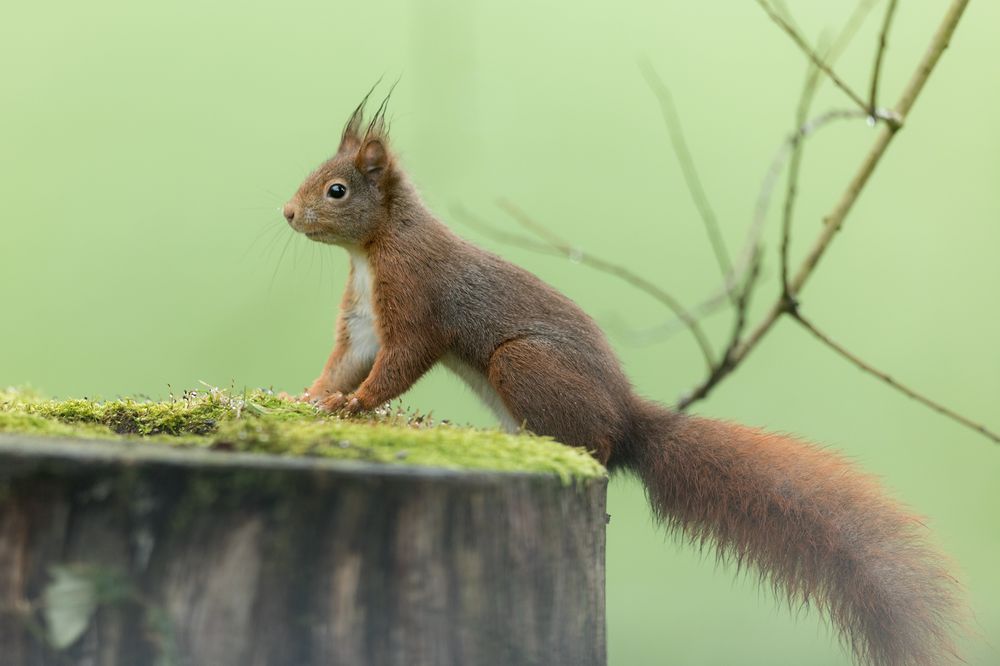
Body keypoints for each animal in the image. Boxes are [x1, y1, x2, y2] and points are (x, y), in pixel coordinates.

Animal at [280, 94, 960, 664]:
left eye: (337, 190)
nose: (287, 213)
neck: (375, 248)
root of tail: (628, 418)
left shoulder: (417, 298)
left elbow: (399, 363)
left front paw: (353, 405)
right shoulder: (363, 321)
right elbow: (348, 358)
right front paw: (311, 396)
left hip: (522, 365)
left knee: (596, 447)